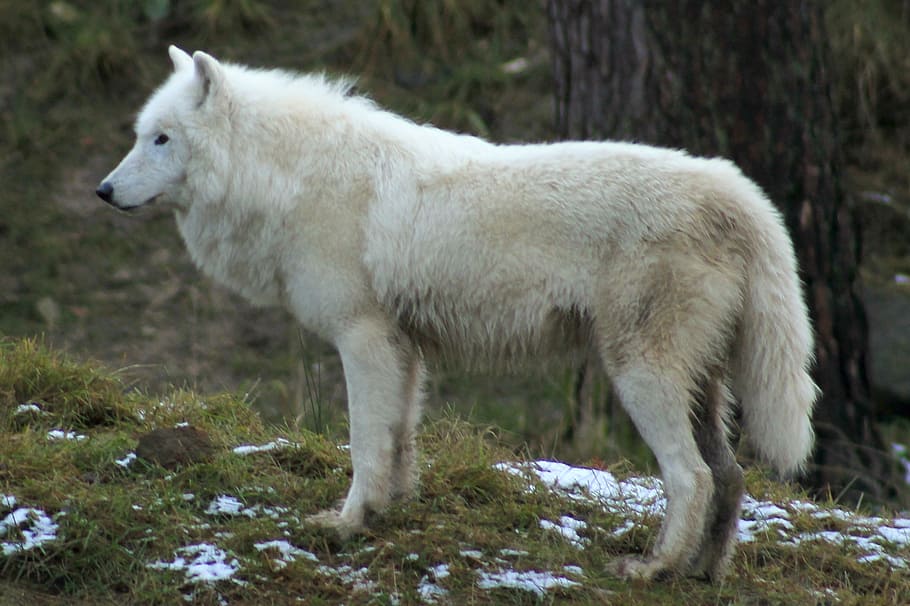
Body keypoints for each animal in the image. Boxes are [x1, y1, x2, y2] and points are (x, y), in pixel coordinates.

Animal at [97, 46, 818, 582]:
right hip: (699, 387)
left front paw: (347, 523)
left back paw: (652, 569)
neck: (294, 180)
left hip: (639, 376)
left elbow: (364, 441)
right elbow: (397, 440)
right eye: (137, 137)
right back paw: (703, 572)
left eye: (161, 140)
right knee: (729, 477)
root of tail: (741, 194)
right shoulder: (401, 347)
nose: (102, 191)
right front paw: (386, 511)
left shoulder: (363, 339)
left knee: (691, 478)